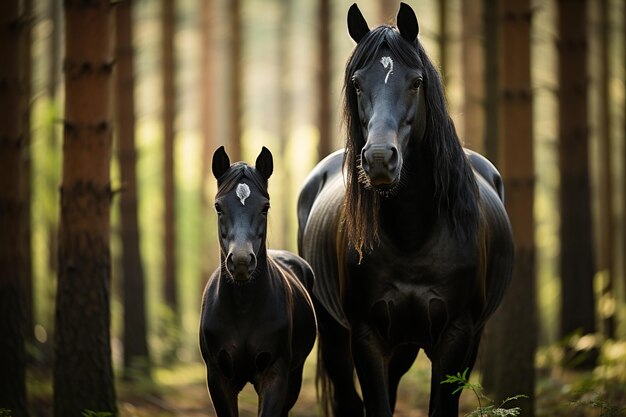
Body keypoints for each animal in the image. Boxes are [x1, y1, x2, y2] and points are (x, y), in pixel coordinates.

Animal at [200, 146, 316, 416]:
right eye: (218, 206)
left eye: (265, 206)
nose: (242, 261)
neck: (243, 311)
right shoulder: (218, 378)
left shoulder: (275, 375)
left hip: (295, 377)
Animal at [298, 3, 512, 416]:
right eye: (357, 83)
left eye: (415, 82)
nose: (380, 160)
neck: (413, 234)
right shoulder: (366, 337)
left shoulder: (456, 337)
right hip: (336, 337)